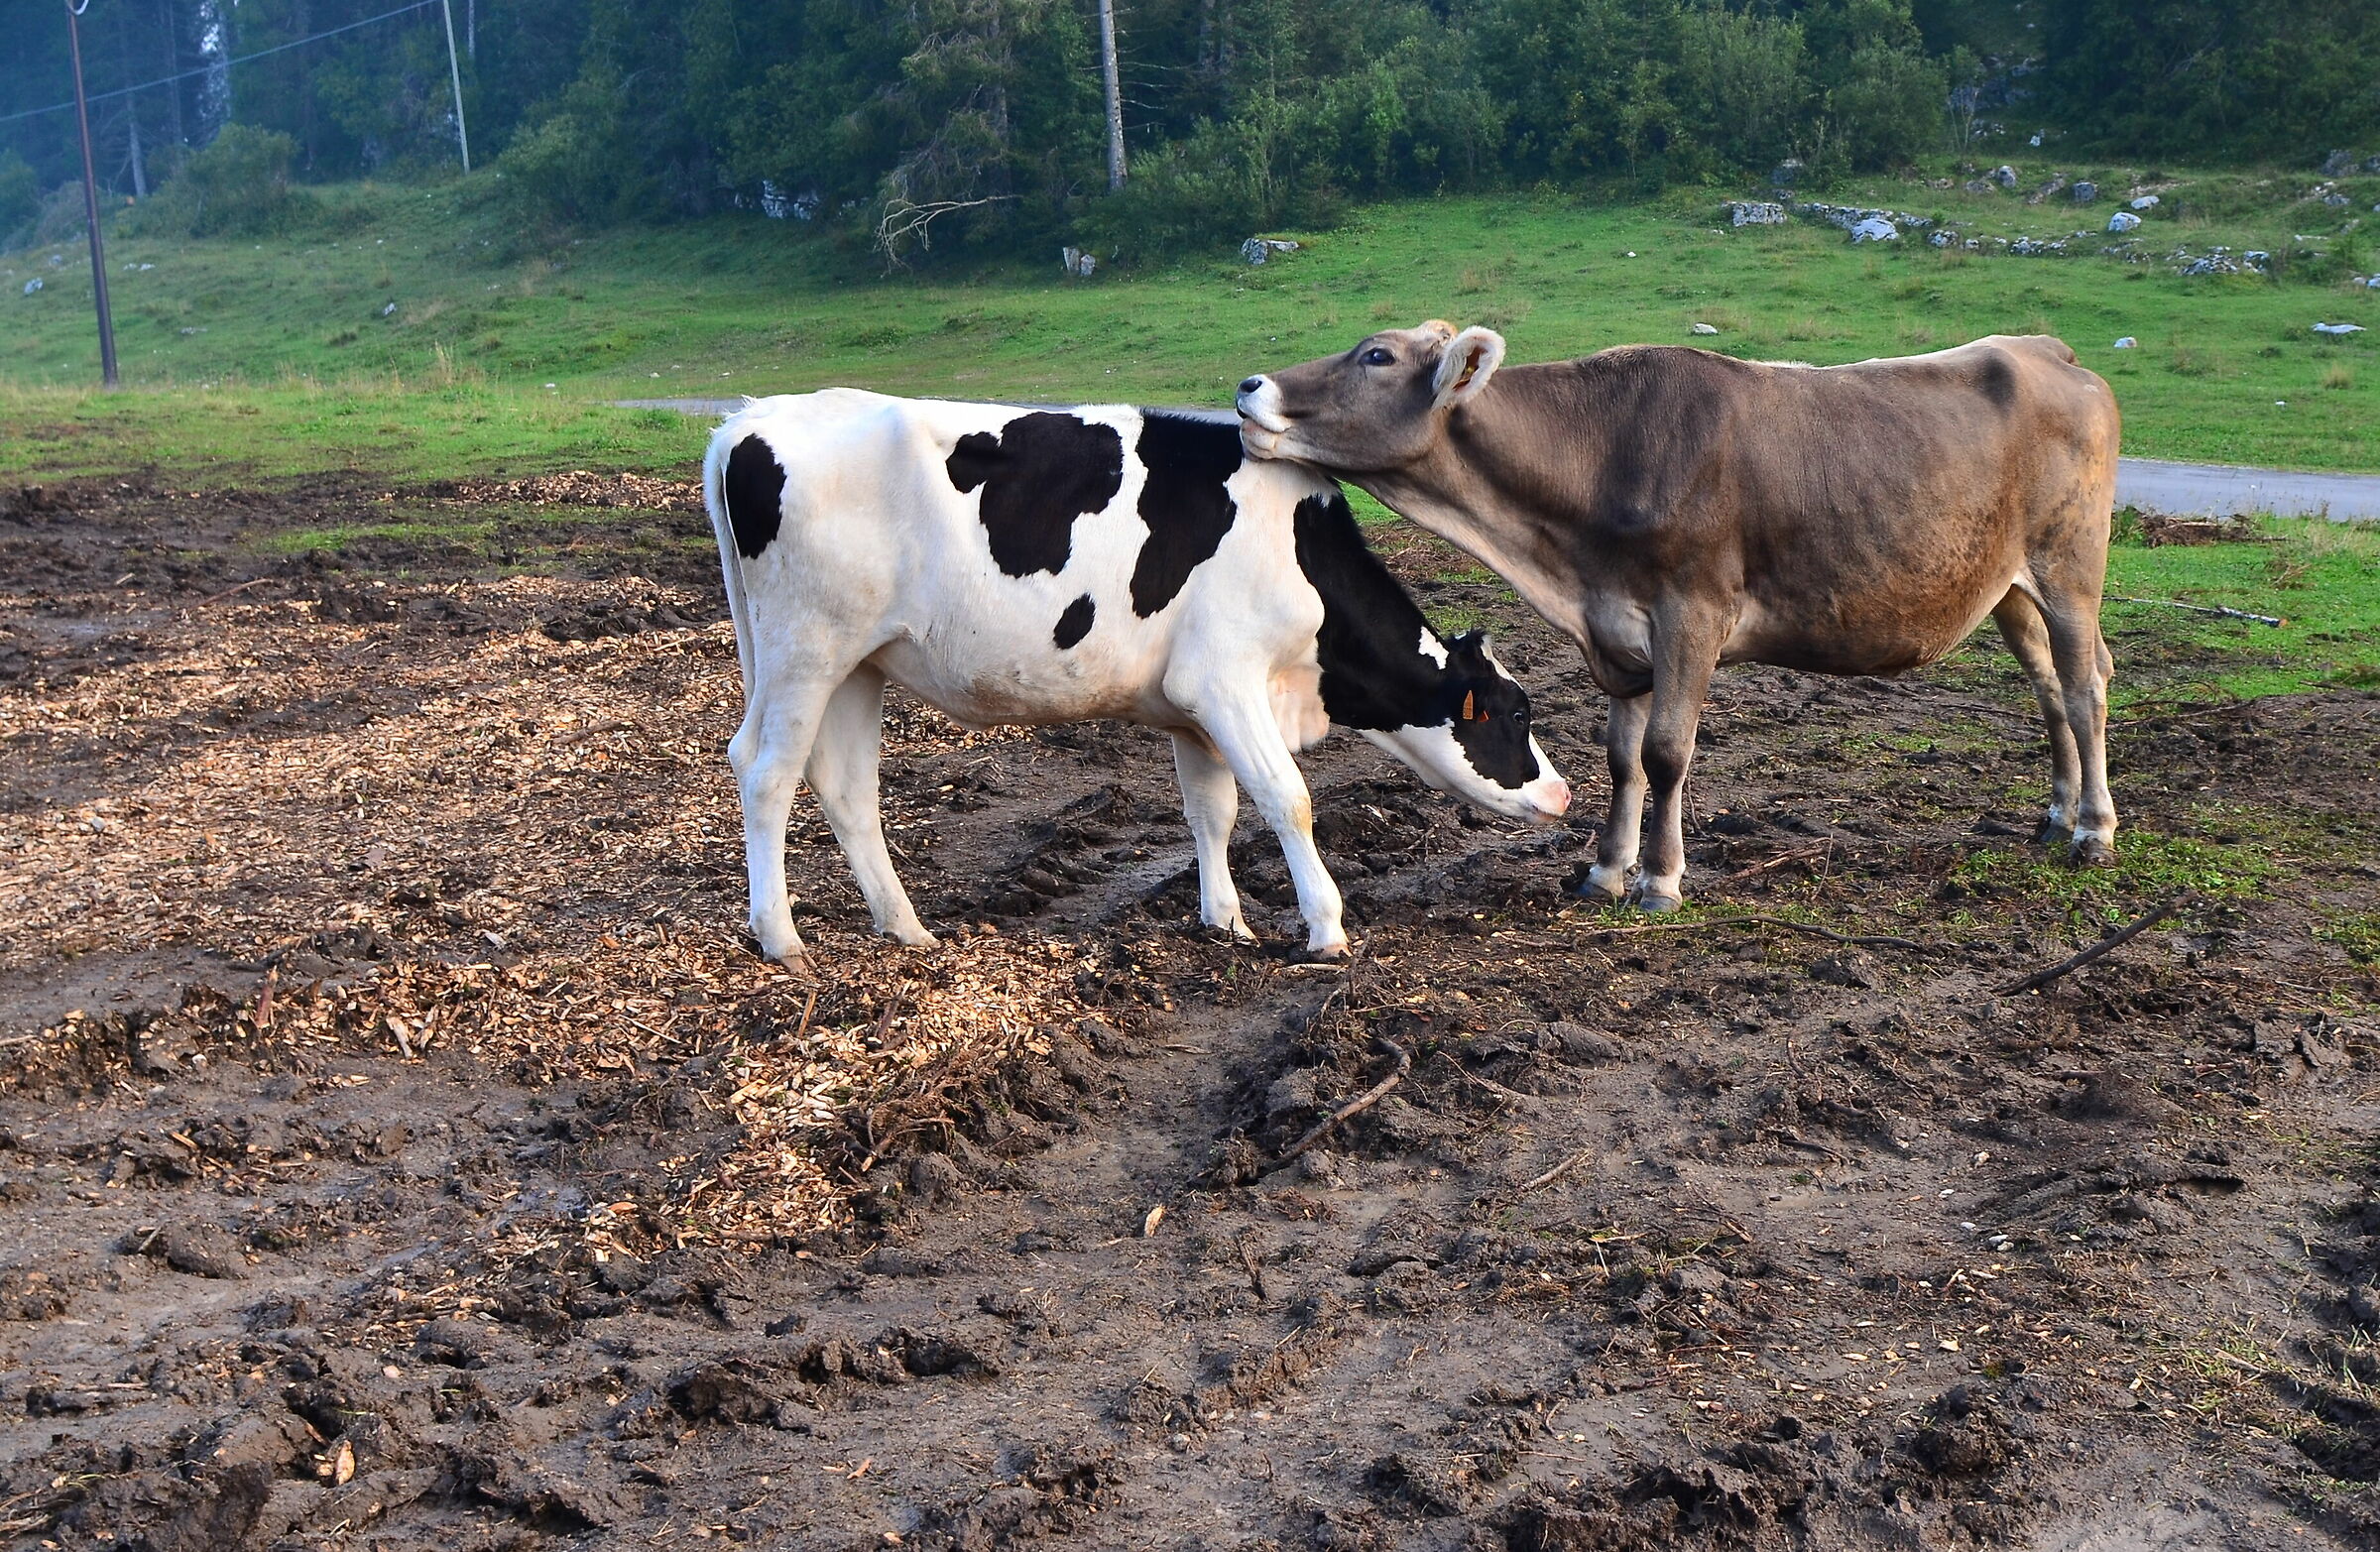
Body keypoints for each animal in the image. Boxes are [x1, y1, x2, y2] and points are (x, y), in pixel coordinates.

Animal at [703, 389, 1572, 969]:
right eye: (1512, 713)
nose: (1564, 794)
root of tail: (749, 419)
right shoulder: (1225, 681)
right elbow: (1287, 798)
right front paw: (1325, 928)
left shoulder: (1192, 705)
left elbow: (1213, 810)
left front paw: (1226, 922)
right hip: (805, 646)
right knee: (765, 769)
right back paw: (781, 938)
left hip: (859, 660)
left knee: (847, 784)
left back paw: (905, 926)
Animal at [1236, 325, 2122, 911]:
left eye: (1377, 356)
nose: (1251, 386)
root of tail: (2049, 351)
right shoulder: (1618, 633)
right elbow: (1621, 758)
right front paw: (1605, 870)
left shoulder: (1692, 613)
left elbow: (1665, 753)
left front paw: (1660, 879)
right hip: (2008, 587)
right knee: (2049, 688)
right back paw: (2055, 815)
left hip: (2070, 566)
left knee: (2086, 689)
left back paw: (2094, 830)